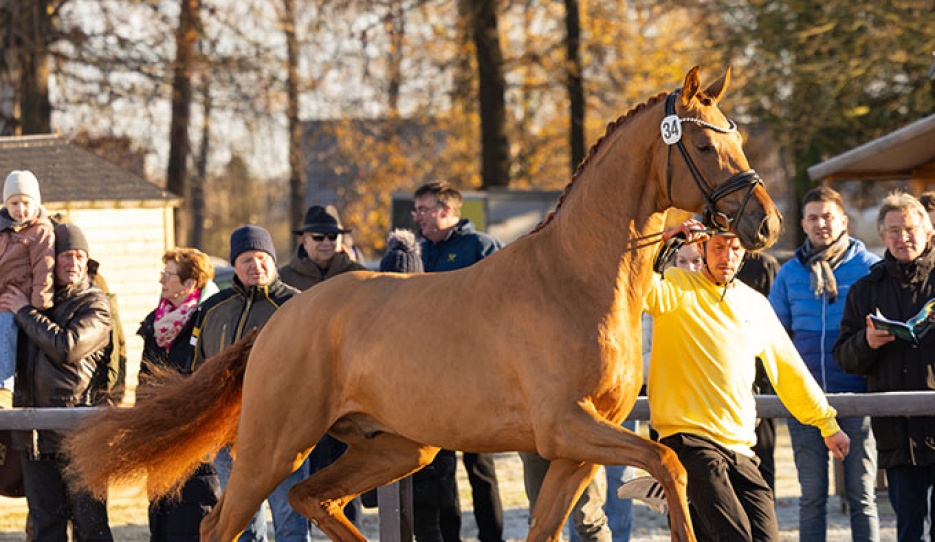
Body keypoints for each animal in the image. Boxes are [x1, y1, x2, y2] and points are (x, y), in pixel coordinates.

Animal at [66, 66, 781, 542]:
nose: (767, 223)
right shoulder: (567, 428)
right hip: (276, 445)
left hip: (400, 450)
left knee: (314, 501)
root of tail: (279, 319)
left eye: (739, 139)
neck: (576, 281)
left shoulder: (575, 450)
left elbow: (551, 525)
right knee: (226, 521)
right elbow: (669, 461)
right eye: (706, 145)